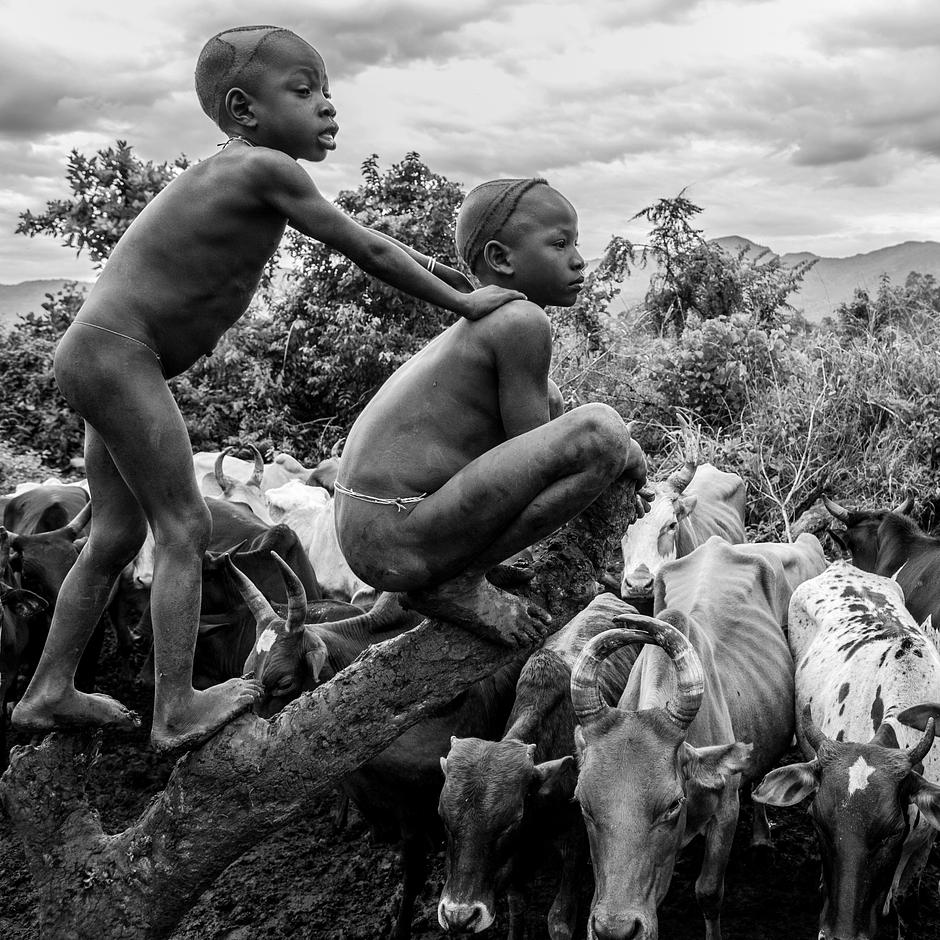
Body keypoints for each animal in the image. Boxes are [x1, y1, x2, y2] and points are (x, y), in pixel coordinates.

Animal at [572, 536, 824, 940]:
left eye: (673, 804)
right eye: (583, 804)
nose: (615, 930)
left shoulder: (726, 809)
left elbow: (708, 892)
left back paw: (761, 840)